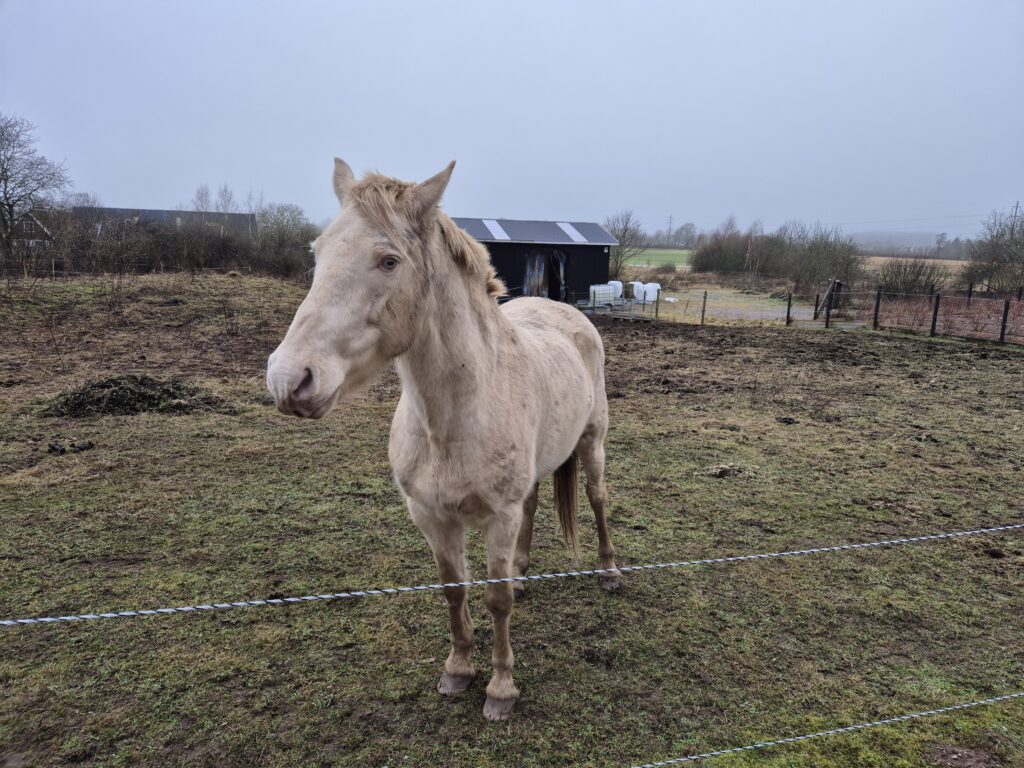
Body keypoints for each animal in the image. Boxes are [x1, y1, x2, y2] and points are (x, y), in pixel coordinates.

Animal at [268, 159, 618, 720]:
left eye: (389, 260)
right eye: (317, 254)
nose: (288, 379)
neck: (452, 422)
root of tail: (567, 312)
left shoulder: (498, 518)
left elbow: (496, 601)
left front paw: (500, 689)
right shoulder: (432, 517)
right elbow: (455, 591)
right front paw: (457, 669)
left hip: (592, 443)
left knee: (597, 497)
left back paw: (609, 571)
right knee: (534, 505)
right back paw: (523, 571)